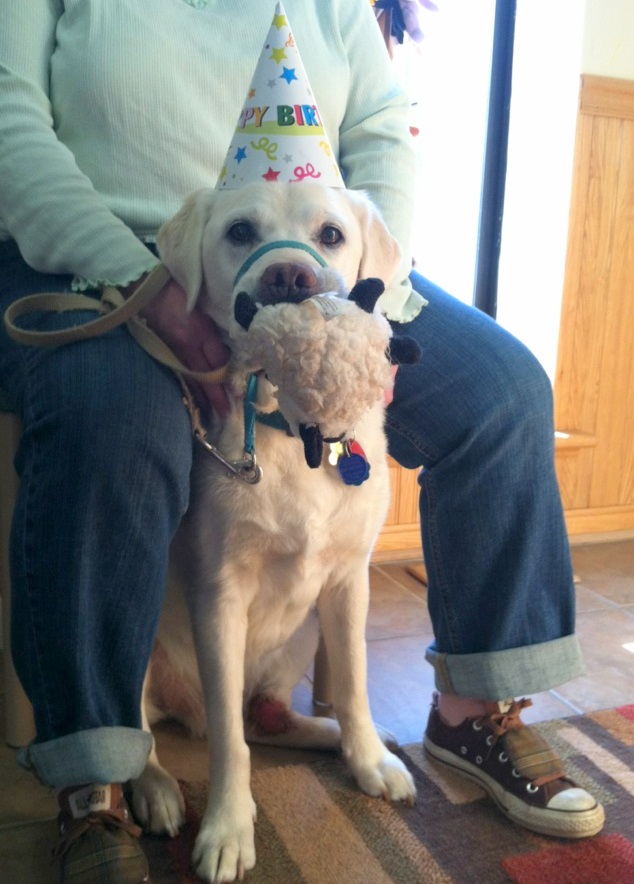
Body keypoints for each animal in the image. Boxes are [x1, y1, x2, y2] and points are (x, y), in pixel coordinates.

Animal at [130, 182, 418, 883]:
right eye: (239, 231)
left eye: (331, 234)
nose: (289, 276)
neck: (296, 435)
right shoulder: (219, 596)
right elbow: (231, 750)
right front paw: (228, 829)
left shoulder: (348, 584)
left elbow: (353, 683)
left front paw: (369, 759)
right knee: (153, 730)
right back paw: (157, 789)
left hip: (302, 633)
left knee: (268, 719)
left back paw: (349, 740)